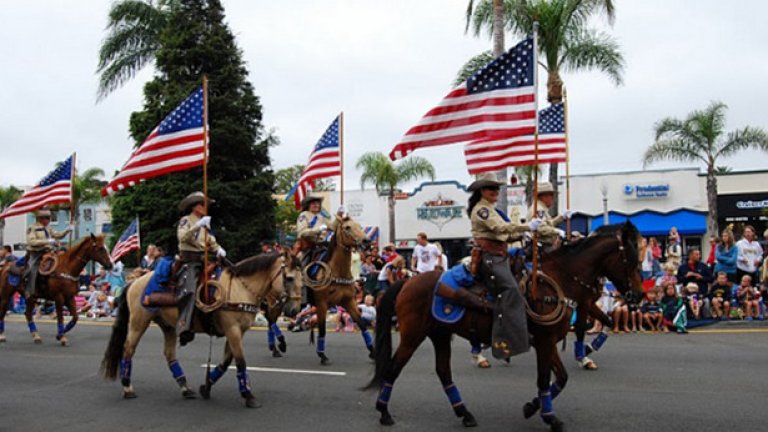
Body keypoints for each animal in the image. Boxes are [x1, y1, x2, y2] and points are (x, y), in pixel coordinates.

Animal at [101, 251, 304, 406]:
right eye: (289, 278)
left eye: (303, 279)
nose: (294, 310)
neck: (240, 289)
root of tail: (134, 282)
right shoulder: (233, 330)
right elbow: (240, 362)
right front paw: (248, 395)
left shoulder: (237, 332)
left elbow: (226, 362)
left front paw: (207, 386)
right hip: (139, 322)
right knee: (128, 349)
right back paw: (127, 387)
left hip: (168, 326)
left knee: (169, 354)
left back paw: (185, 387)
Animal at [302, 214, 370, 362]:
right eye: (347, 227)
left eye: (360, 226)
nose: (366, 241)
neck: (337, 272)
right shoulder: (322, 304)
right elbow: (322, 329)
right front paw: (322, 354)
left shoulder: (349, 301)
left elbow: (362, 324)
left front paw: (373, 351)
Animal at [366, 223, 640, 432]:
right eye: (632, 261)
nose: (637, 296)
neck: (556, 282)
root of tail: (407, 281)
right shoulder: (545, 340)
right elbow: (545, 378)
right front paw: (549, 416)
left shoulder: (552, 337)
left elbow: (561, 377)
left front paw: (533, 406)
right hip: (413, 335)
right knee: (393, 368)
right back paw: (384, 412)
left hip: (440, 334)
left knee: (443, 371)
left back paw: (465, 413)